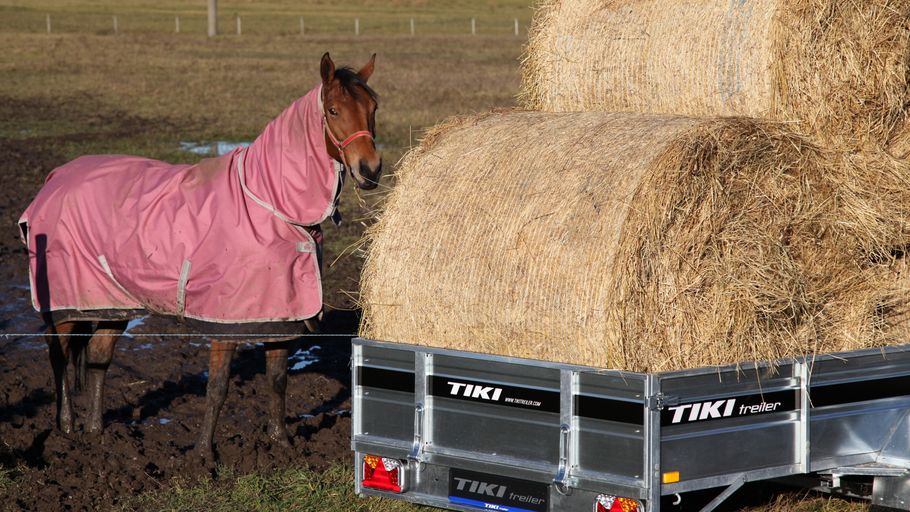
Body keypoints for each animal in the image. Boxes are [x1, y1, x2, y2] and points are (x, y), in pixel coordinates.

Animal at [18, 53, 382, 464]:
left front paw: (281, 444)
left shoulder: (281, 316)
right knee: (59, 354)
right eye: (333, 110)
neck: (268, 203)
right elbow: (218, 386)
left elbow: (277, 381)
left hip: (111, 302)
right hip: (67, 300)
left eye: (373, 108)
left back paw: (97, 433)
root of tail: (55, 178)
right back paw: (66, 427)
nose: (370, 170)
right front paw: (204, 455)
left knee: (98, 357)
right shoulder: (227, 320)